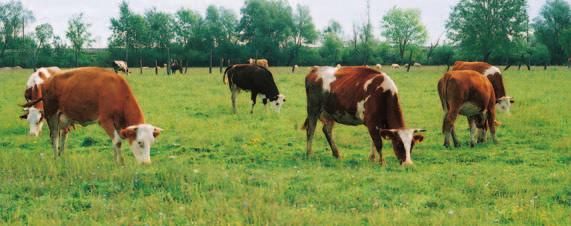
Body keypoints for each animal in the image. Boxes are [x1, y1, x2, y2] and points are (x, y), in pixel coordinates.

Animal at [22, 67, 161, 164]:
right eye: (140, 142)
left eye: (151, 142)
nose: (147, 163)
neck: (116, 91)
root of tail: (47, 81)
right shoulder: (105, 121)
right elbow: (117, 142)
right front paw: (120, 162)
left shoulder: (117, 124)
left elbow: (115, 142)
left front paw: (116, 160)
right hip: (51, 115)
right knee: (54, 137)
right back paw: (56, 158)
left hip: (65, 118)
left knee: (63, 137)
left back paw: (62, 156)